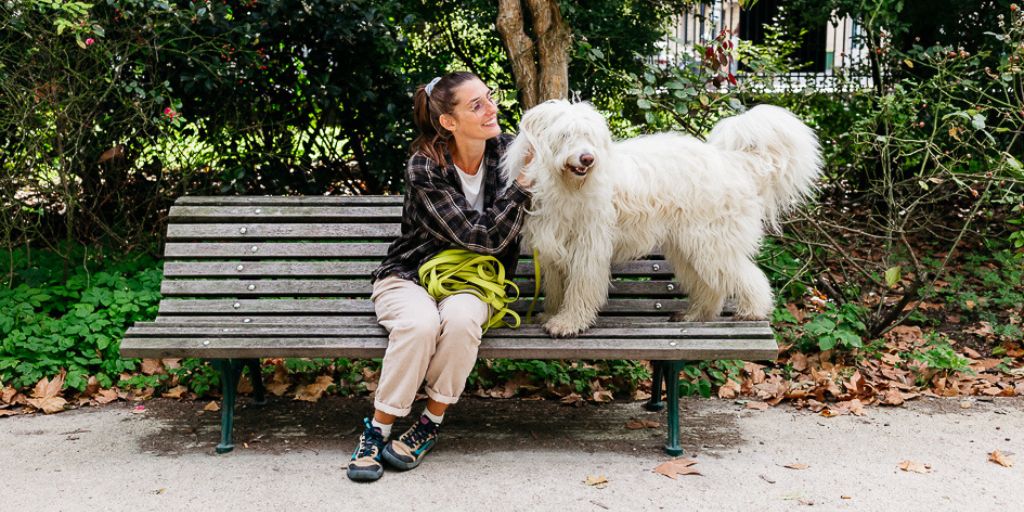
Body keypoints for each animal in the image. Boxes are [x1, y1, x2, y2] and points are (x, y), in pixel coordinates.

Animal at [503, 101, 823, 337]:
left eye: (589, 137)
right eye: (565, 135)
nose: (587, 159)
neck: (563, 185)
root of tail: (733, 162)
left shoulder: (588, 245)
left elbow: (581, 286)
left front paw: (568, 322)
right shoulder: (553, 247)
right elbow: (557, 287)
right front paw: (550, 312)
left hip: (710, 240)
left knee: (746, 275)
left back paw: (753, 310)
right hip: (688, 246)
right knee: (712, 285)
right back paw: (696, 314)